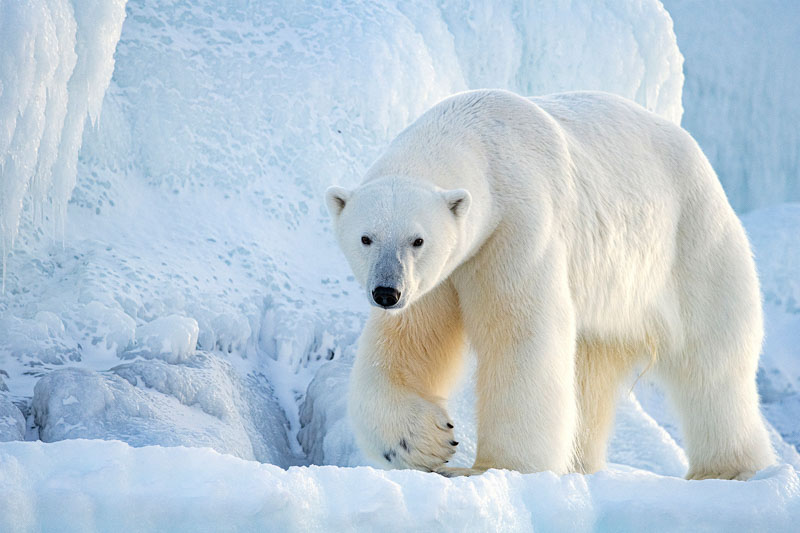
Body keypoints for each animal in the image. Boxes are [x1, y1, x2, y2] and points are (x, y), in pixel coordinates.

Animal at [325, 89, 776, 480]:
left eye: (418, 240)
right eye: (366, 238)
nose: (387, 292)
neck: (479, 136)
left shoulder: (516, 226)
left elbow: (521, 334)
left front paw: (492, 467)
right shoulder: (442, 274)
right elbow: (406, 342)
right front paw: (426, 441)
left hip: (692, 244)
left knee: (713, 363)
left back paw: (728, 468)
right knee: (591, 373)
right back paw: (581, 463)